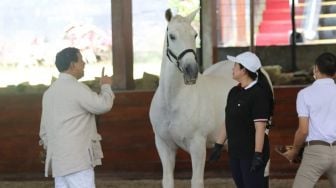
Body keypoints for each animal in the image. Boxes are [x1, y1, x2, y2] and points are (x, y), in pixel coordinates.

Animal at [151, 8, 272, 188]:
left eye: (195, 35)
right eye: (172, 36)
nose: (191, 71)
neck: (172, 101)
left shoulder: (197, 145)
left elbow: (196, 181)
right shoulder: (164, 145)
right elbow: (167, 180)